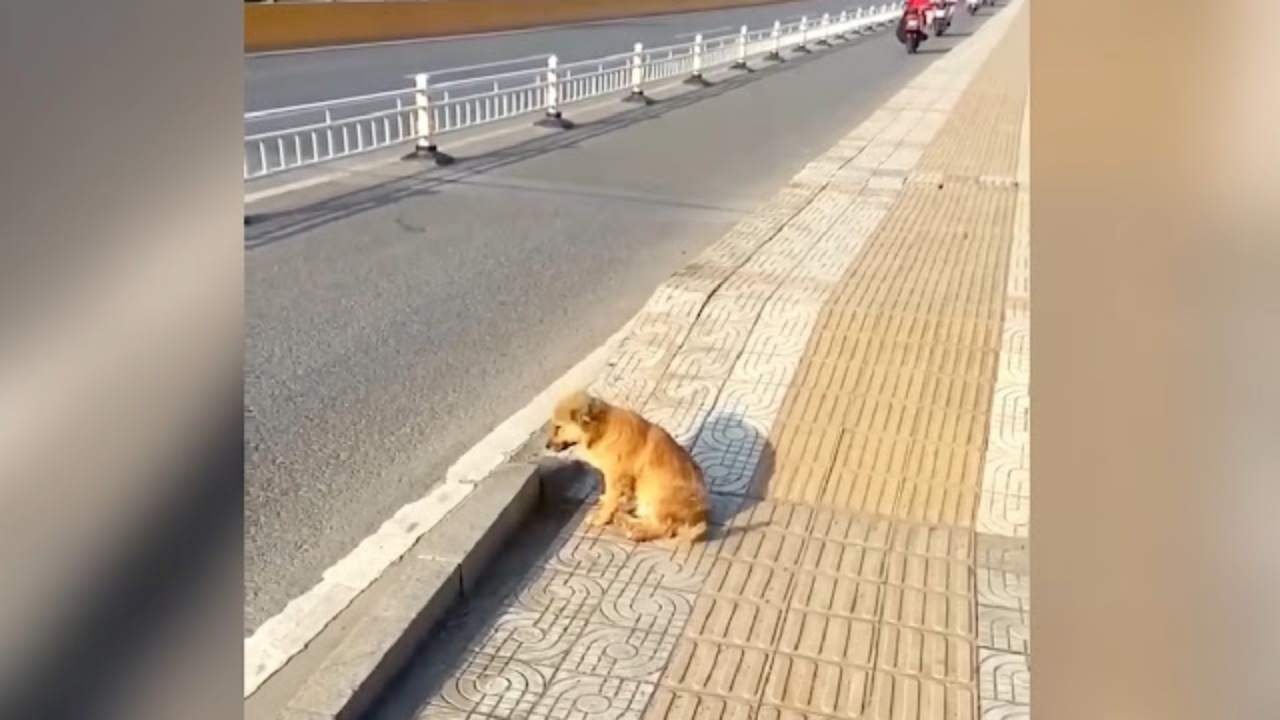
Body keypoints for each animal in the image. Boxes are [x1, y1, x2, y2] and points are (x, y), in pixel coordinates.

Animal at [542, 392, 711, 538]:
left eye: (558, 427)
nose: (546, 446)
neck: (602, 432)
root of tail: (701, 516)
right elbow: (617, 495)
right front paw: (617, 502)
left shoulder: (615, 476)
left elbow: (611, 500)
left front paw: (600, 518)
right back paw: (626, 520)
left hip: (660, 496)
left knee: (665, 528)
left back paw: (637, 532)